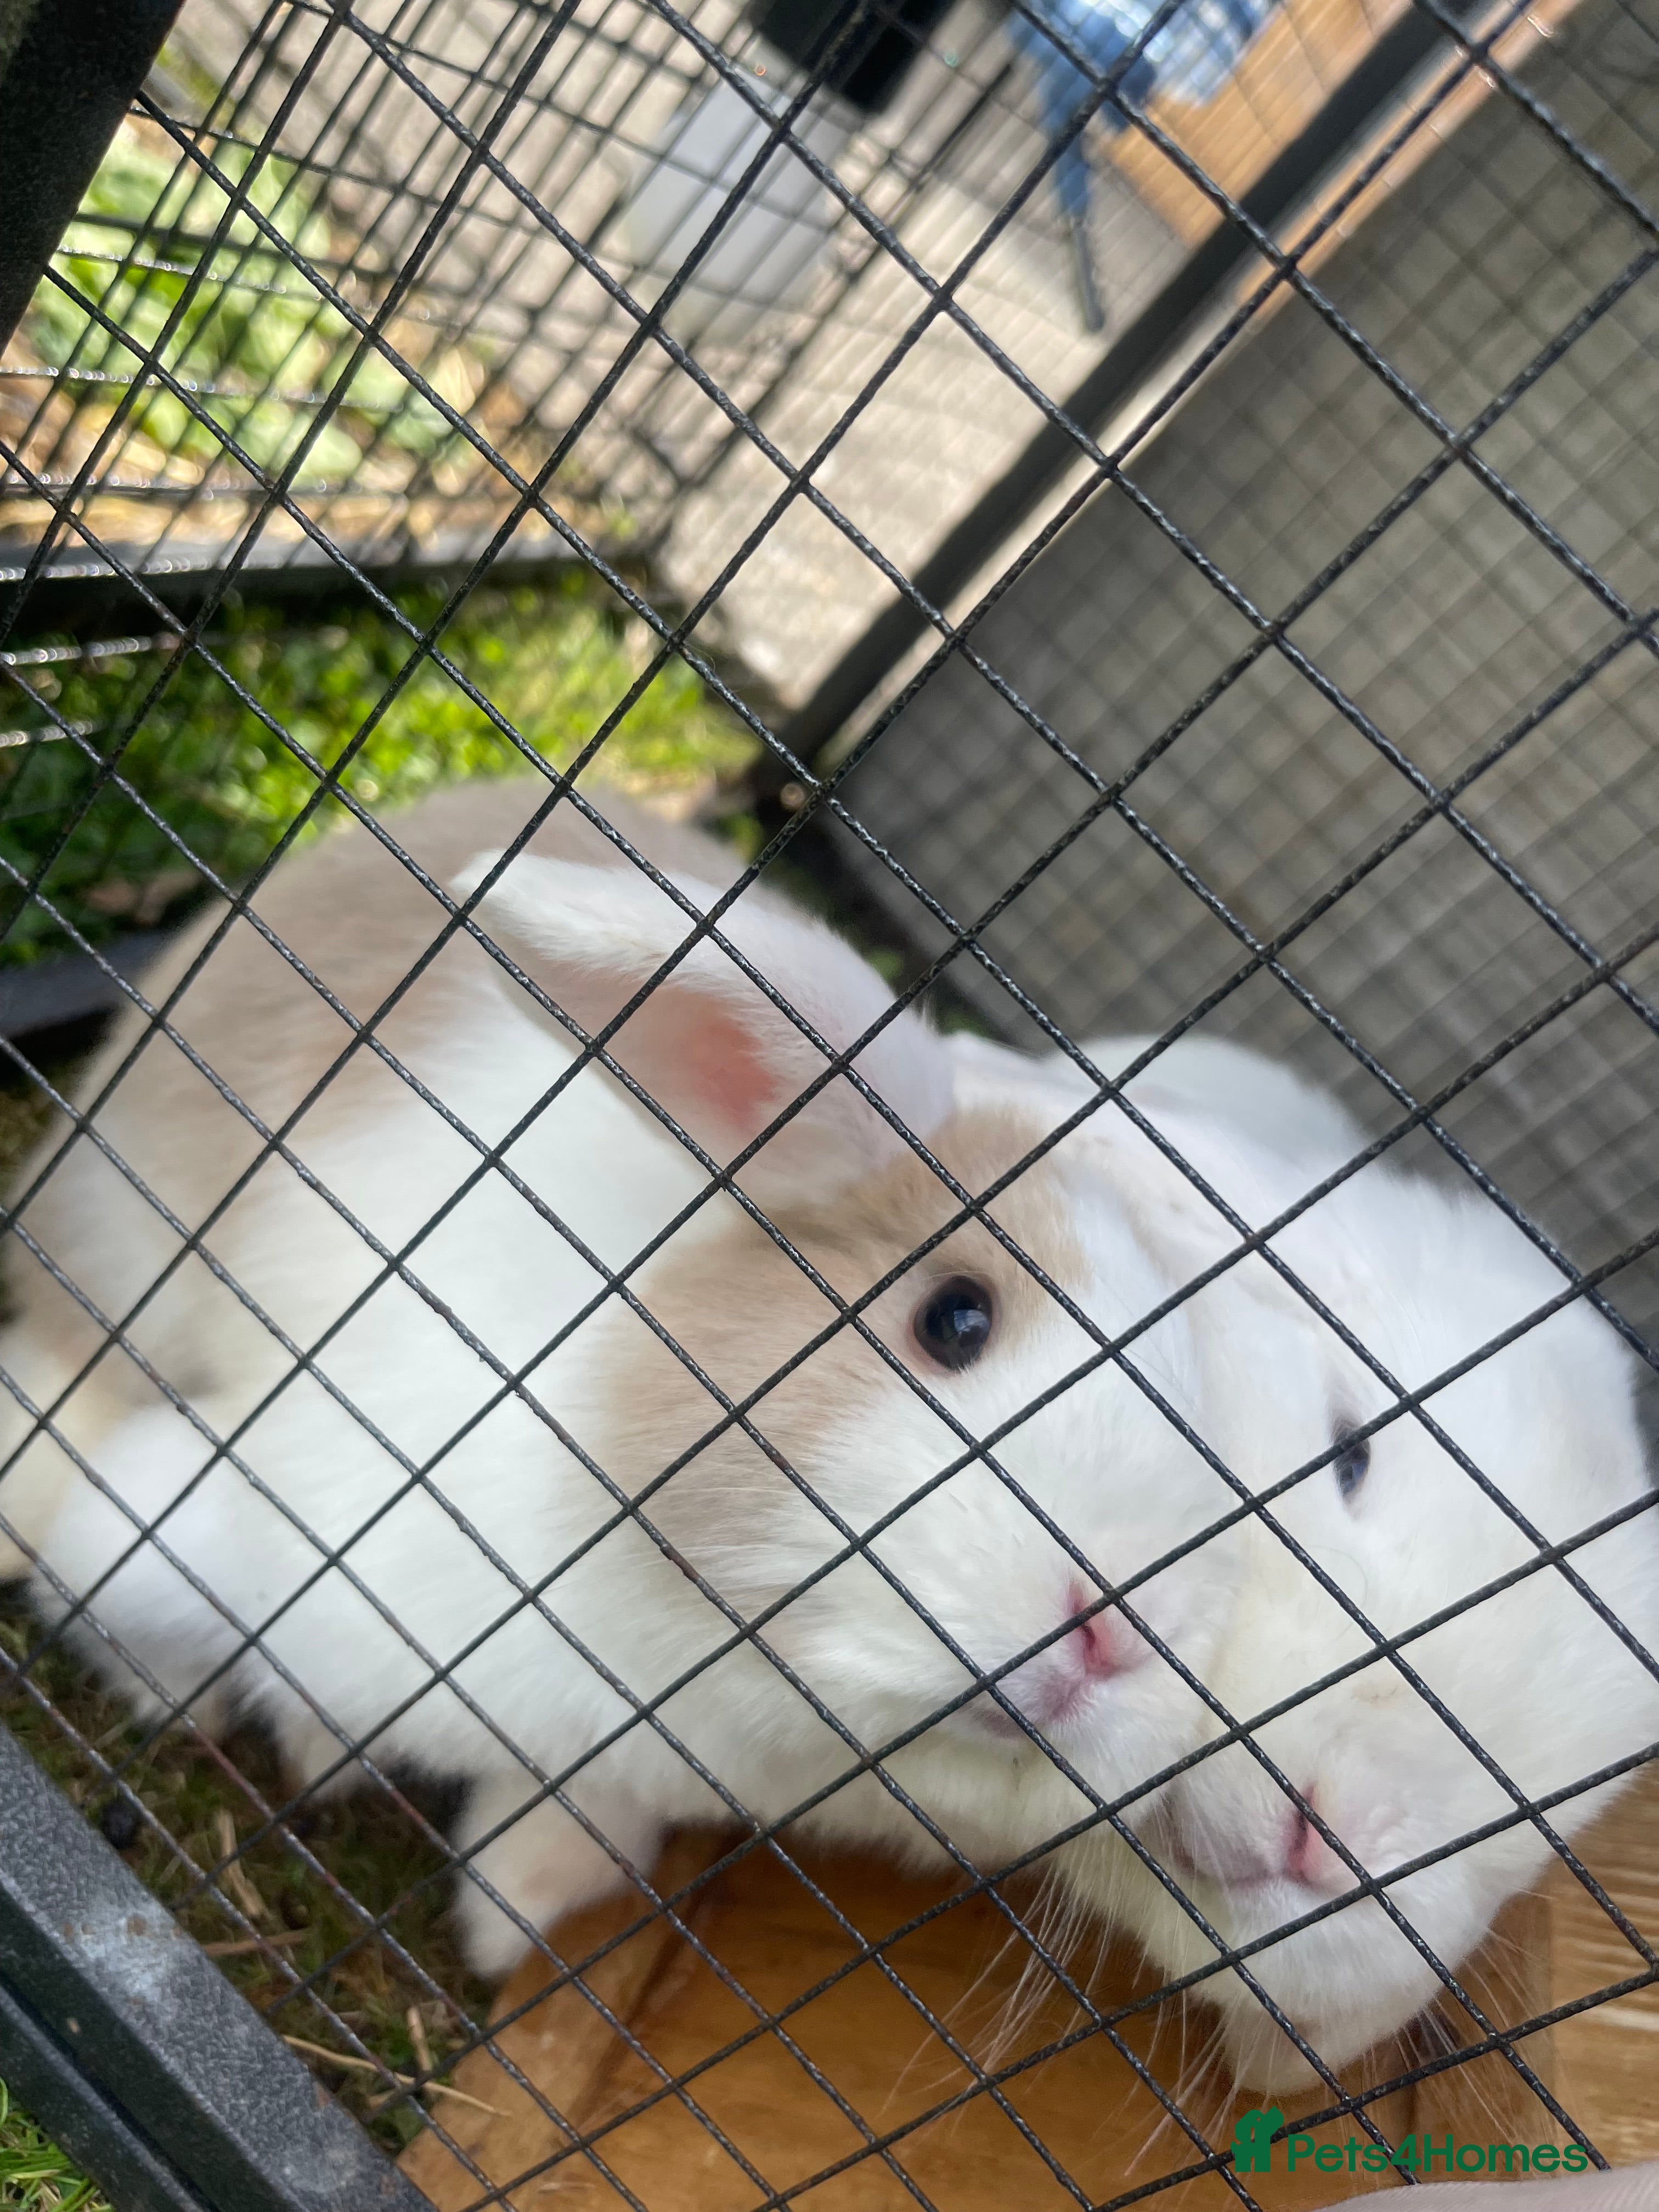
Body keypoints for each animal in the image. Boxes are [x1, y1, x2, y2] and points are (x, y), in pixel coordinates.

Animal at [0, 777, 1318, 1977]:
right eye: (955, 1318)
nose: (1114, 1632)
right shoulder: (253, 1521)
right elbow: (110, 1571)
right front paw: (181, 1697)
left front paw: (509, 1919)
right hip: (124, 1245)